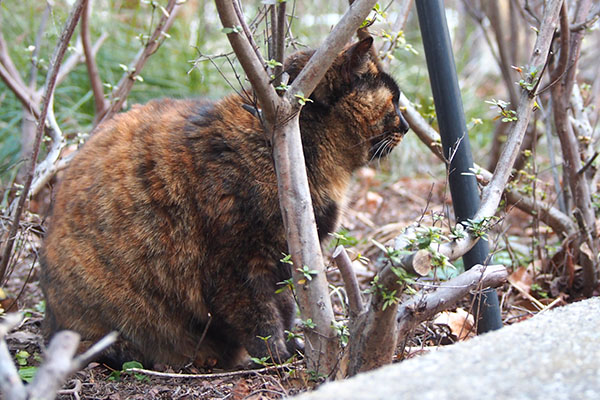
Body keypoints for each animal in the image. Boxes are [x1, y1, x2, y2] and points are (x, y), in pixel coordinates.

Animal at [39, 37, 410, 368]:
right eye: (393, 100)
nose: (406, 126)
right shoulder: (236, 263)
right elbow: (260, 315)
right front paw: (276, 356)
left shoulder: (283, 259)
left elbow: (285, 306)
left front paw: (294, 347)